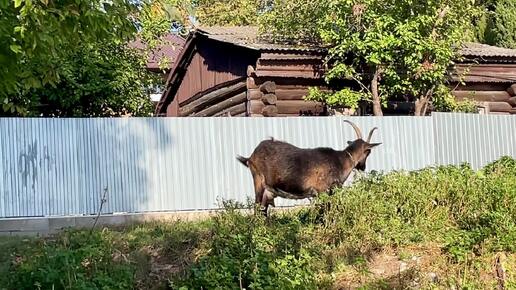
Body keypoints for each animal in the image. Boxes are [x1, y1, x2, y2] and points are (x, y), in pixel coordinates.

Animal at [237, 119, 378, 216]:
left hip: (268, 192)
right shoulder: (322, 191)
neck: (340, 160)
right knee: (257, 209)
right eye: (368, 152)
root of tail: (251, 157)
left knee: (263, 211)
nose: (362, 167)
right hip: (258, 181)